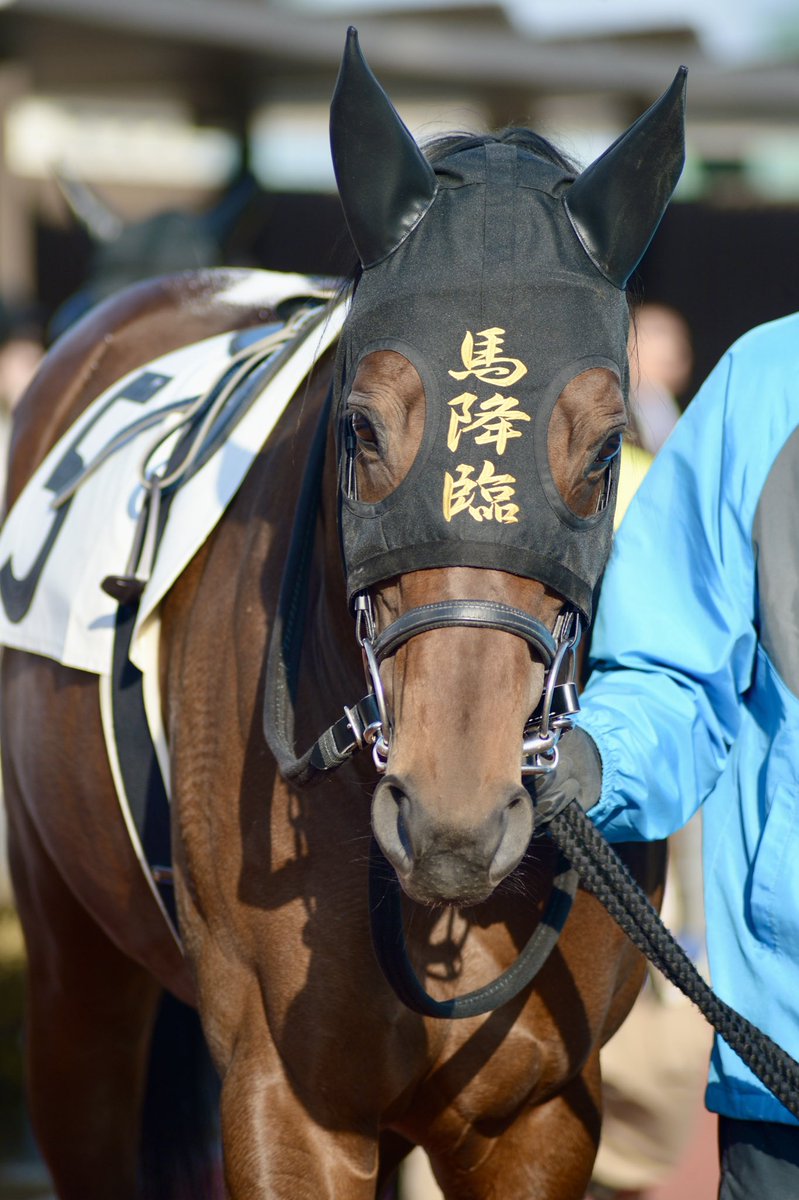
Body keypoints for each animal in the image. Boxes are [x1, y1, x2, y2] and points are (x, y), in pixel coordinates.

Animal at [1, 31, 685, 1200]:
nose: (454, 817)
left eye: (605, 449)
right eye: (362, 429)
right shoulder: (286, 1099)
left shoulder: (540, 1114)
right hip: (69, 976)